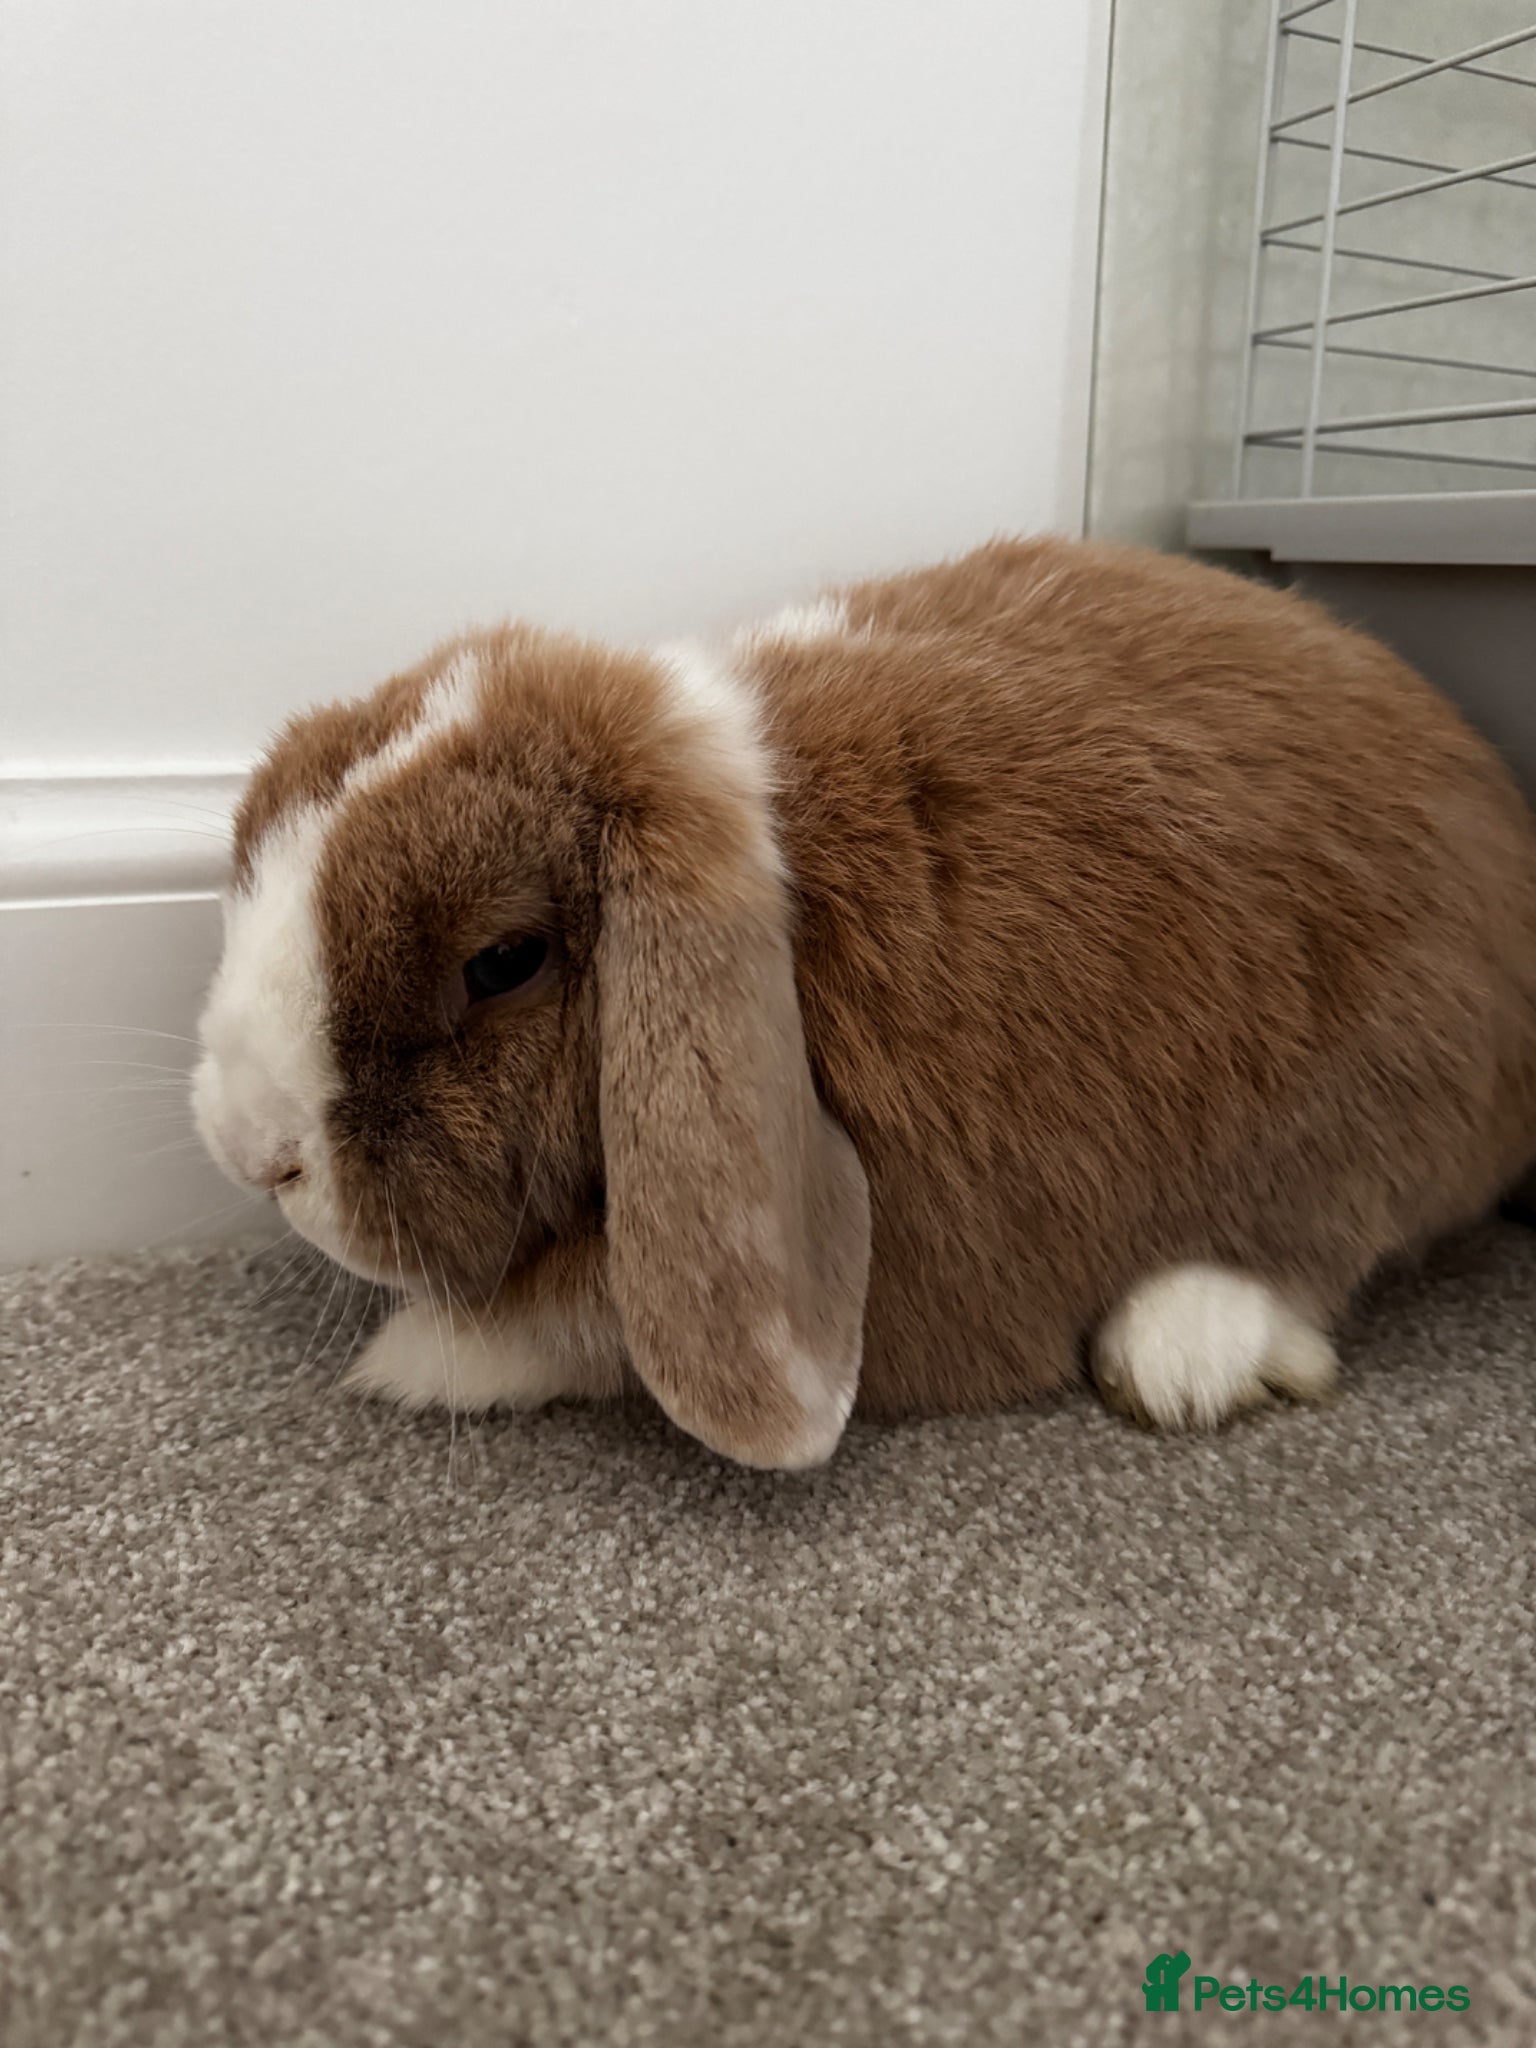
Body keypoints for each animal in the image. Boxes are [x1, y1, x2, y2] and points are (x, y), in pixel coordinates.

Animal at [192, 537, 1536, 1467]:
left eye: (503, 960)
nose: (253, 1150)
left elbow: (588, 1316)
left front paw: (413, 1359)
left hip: (1385, 1093)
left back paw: (1181, 1348)